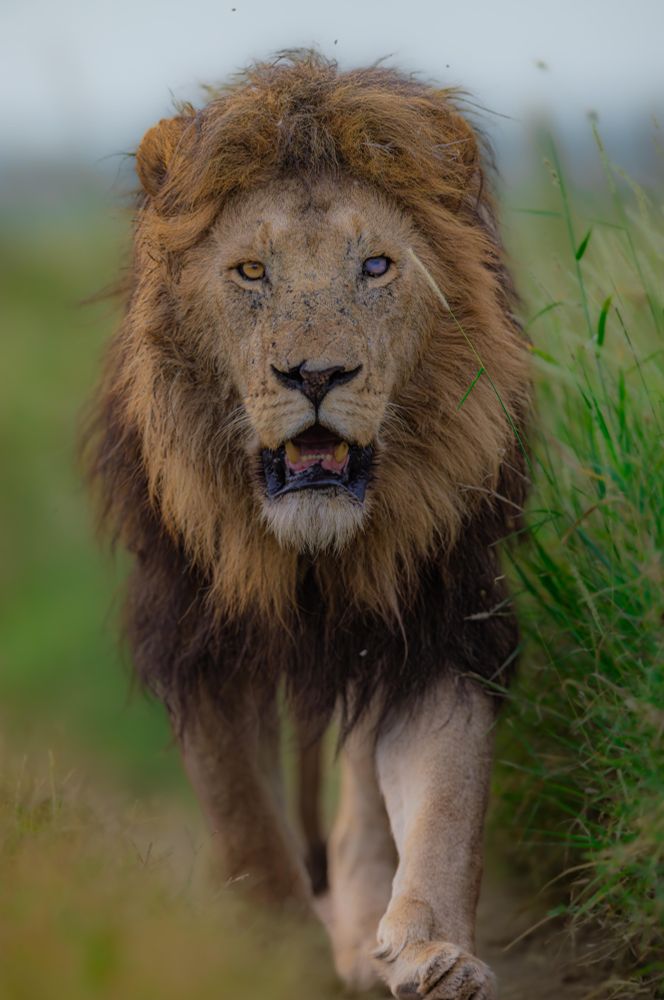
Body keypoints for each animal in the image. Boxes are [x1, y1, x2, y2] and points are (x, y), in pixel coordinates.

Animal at [86, 52, 530, 999]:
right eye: (252, 272)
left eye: (377, 266)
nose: (316, 375)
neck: (309, 551)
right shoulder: (198, 637)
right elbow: (245, 822)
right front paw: (273, 954)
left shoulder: (437, 615)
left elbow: (448, 800)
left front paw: (436, 952)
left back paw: (365, 928)